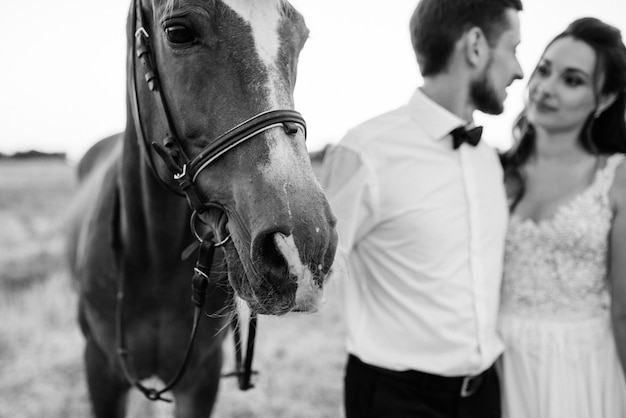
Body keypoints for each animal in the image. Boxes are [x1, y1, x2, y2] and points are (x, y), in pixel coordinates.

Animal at [66, 0, 336, 414]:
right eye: (178, 32)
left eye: (301, 37)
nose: (303, 247)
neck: (153, 260)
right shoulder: (101, 372)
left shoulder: (201, 379)